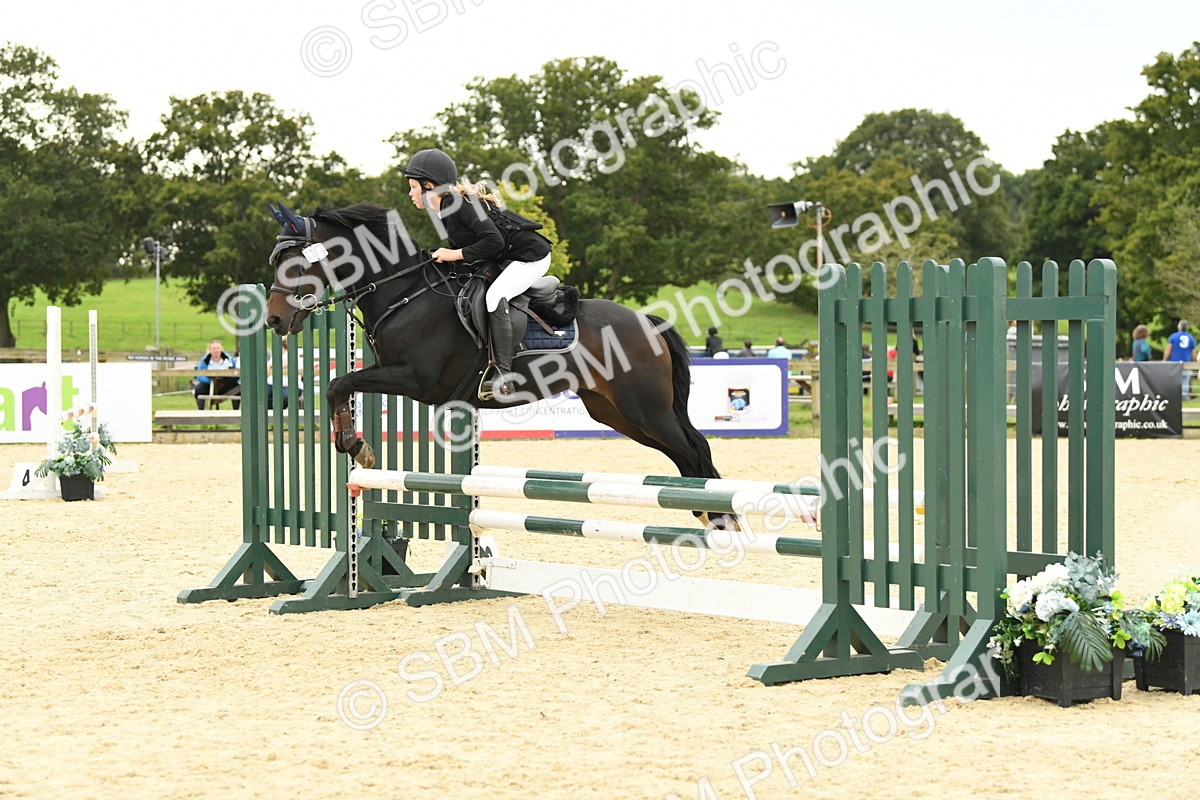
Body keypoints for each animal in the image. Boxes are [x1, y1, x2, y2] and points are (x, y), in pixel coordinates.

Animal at [262, 201, 736, 529]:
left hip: (646, 409)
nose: (274, 321)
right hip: (617, 413)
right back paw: (705, 513)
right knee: (684, 454)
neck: (405, 291)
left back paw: (721, 516)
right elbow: (338, 385)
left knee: (696, 448)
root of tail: (648, 322)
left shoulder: (417, 380)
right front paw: (354, 442)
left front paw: (354, 444)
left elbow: (340, 382)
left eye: (297, 262)